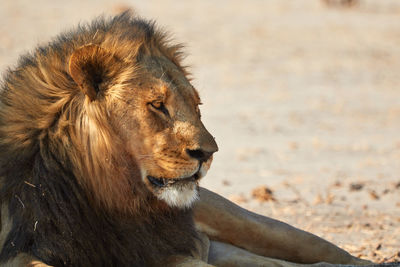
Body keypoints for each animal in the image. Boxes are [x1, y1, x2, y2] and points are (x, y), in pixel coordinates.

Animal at [0, 12, 370, 267]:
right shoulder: (24, 249)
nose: (208, 153)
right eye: (157, 105)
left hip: (249, 223)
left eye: (196, 105)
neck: (108, 196)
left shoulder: (162, 251)